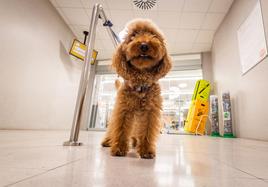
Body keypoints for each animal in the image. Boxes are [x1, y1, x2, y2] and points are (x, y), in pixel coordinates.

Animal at [100, 19, 172, 159]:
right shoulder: (124, 109)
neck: (141, 84)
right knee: (112, 129)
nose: (144, 45)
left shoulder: (150, 112)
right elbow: (121, 129)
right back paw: (108, 141)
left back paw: (134, 143)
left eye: (153, 35)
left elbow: (147, 131)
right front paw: (119, 148)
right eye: (133, 35)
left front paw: (146, 150)